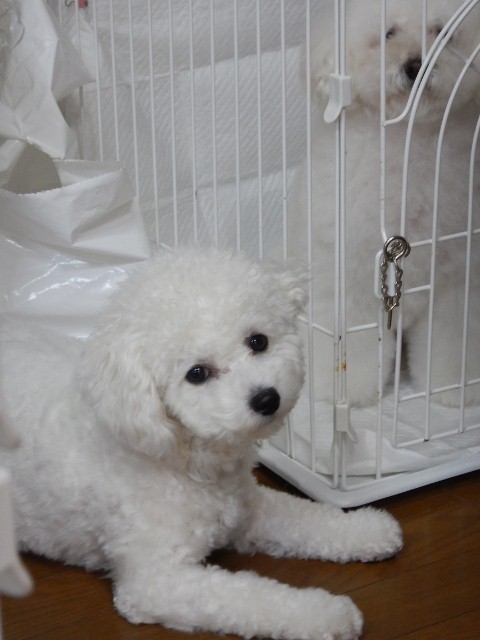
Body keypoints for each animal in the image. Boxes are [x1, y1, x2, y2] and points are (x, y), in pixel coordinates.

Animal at [0, 249, 402, 640]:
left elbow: (309, 517)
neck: (183, 460)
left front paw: (368, 530)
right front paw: (325, 614)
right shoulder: (157, 582)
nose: (266, 399)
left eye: (258, 341)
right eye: (196, 374)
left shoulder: (250, 509)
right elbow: (253, 598)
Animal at [289, 0, 480, 406]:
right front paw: (339, 388)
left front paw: (455, 384)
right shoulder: (348, 278)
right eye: (388, 33)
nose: (415, 65)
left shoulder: (459, 281)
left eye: (443, 32)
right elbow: (351, 342)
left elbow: (453, 338)